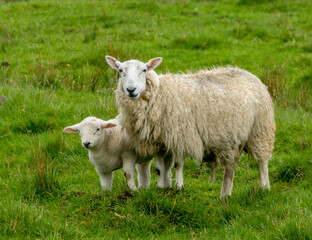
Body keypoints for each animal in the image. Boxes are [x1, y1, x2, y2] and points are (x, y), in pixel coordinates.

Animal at [105, 55, 276, 197]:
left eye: (144, 70)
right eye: (121, 71)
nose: (131, 90)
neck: (160, 94)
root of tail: (248, 73)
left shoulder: (182, 135)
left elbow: (178, 164)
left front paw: (178, 185)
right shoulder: (160, 141)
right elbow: (160, 168)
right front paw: (161, 187)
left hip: (260, 130)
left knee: (262, 162)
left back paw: (265, 187)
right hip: (235, 140)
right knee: (231, 168)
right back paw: (225, 195)